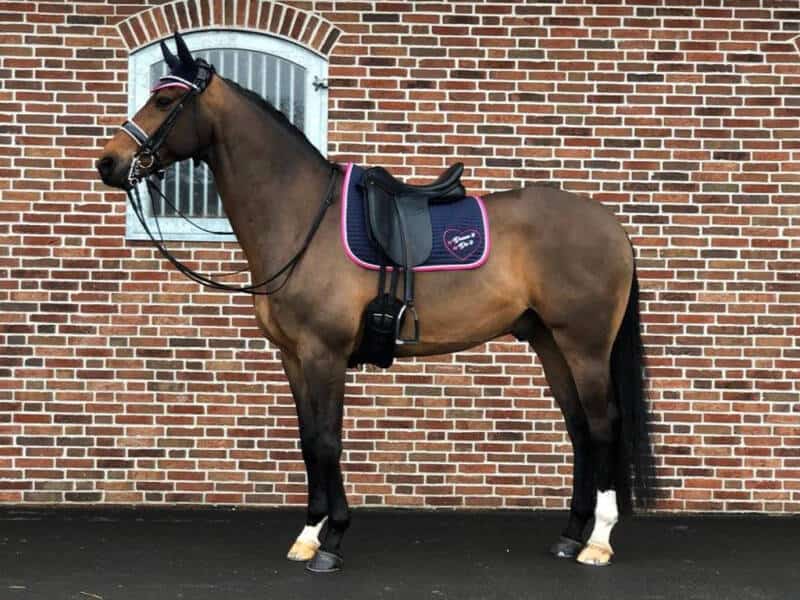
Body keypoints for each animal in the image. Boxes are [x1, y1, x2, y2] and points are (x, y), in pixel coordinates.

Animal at [96, 32, 653, 573]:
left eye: (164, 99)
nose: (108, 162)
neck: (303, 218)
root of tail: (612, 226)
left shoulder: (325, 353)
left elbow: (327, 440)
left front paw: (331, 541)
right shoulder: (293, 356)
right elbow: (308, 441)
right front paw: (308, 534)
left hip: (584, 346)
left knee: (603, 425)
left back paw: (597, 542)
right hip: (548, 341)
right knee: (579, 428)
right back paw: (569, 535)